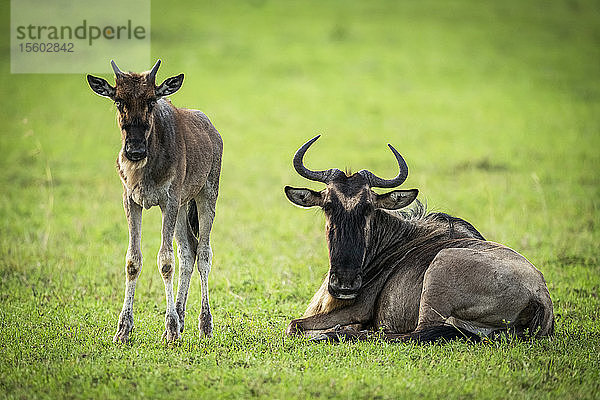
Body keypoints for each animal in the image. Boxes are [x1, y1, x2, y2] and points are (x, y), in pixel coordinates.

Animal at [86, 61, 223, 342]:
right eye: (118, 100)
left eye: (151, 100)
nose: (135, 150)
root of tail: (212, 131)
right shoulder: (131, 201)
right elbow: (133, 260)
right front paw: (123, 331)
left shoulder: (168, 201)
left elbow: (166, 261)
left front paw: (170, 329)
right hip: (182, 207)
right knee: (188, 251)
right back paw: (181, 318)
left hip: (206, 194)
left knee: (203, 253)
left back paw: (204, 325)